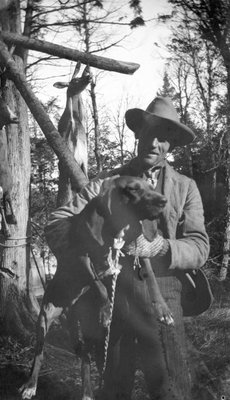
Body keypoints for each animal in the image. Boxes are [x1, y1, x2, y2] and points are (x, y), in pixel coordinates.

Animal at [19, 177, 172, 400]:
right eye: (132, 189)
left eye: (151, 187)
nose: (163, 201)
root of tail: (71, 309)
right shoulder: (82, 257)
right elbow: (98, 284)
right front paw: (106, 309)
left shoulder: (138, 252)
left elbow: (151, 278)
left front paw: (163, 310)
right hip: (44, 318)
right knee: (39, 354)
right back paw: (31, 385)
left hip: (87, 331)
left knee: (86, 360)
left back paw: (88, 392)